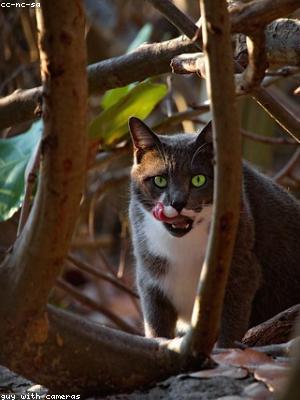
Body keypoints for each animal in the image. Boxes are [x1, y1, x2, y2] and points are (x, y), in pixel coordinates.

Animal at [127, 116, 300, 346]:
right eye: (160, 180)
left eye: (198, 179)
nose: (178, 202)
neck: (183, 246)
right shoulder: (150, 278)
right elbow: (156, 326)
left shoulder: (241, 270)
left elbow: (230, 325)